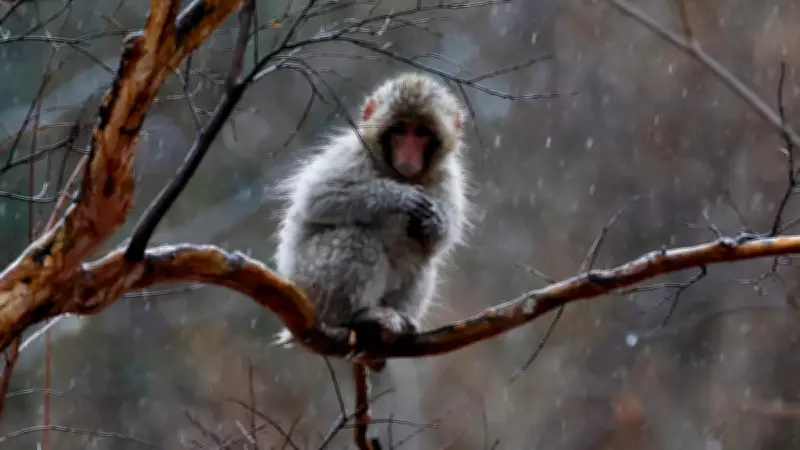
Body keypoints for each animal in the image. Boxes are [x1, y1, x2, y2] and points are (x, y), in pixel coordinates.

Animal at [272, 72, 470, 350]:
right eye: (400, 130)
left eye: (421, 133)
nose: (408, 155)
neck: (398, 174)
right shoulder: (352, 153)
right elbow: (317, 196)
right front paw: (396, 196)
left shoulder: (447, 177)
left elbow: (441, 240)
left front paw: (435, 222)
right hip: (310, 281)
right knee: (355, 238)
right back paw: (359, 315)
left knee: (421, 255)